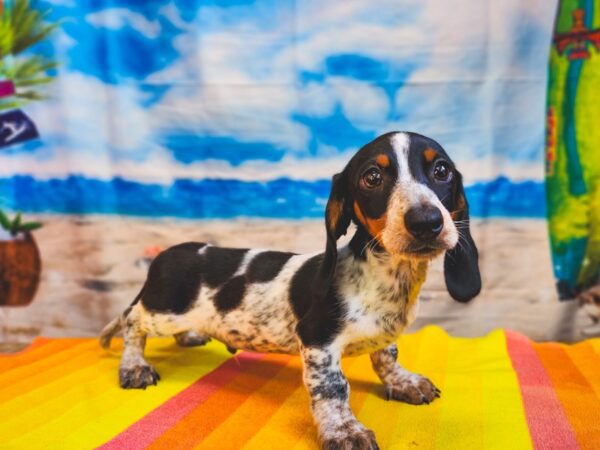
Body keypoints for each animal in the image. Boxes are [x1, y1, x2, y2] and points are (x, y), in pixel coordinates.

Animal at [101, 132, 480, 448]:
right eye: (372, 177)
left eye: (442, 170)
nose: (427, 222)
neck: (386, 275)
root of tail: (166, 254)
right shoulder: (316, 340)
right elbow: (333, 388)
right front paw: (344, 430)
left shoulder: (384, 334)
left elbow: (387, 355)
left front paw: (403, 382)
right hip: (164, 310)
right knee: (130, 319)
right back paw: (134, 366)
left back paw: (189, 337)